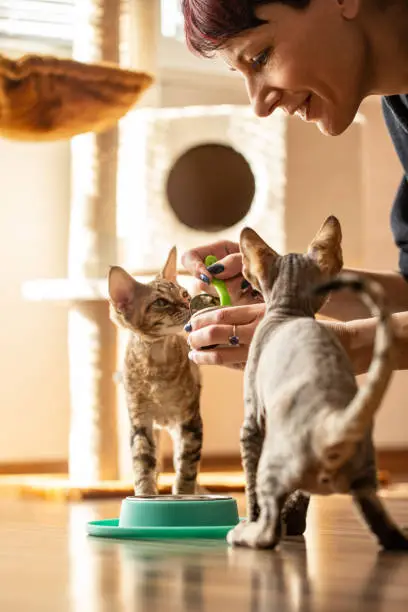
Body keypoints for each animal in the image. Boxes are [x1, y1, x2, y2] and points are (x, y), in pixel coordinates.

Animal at [108, 246, 202, 494]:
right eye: (160, 302)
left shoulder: (189, 419)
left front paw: (184, 494)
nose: (189, 304)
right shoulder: (140, 421)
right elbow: (142, 463)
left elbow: (187, 464)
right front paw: (145, 494)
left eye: (184, 294)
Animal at [226, 218, 408, 552]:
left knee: (268, 528)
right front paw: (294, 518)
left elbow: (250, 486)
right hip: (364, 482)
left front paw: (254, 518)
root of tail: (331, 423)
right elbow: (298, 496)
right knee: (386, 530)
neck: (289, 311)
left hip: (273, 461)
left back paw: (247, 534)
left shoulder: (251, 422)